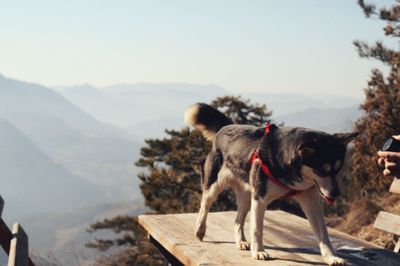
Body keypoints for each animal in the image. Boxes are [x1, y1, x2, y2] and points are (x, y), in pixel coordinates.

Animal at [184, 103, 356, 266]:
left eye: (337, 169)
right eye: (321, 171)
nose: (336, 194)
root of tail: (226, 127)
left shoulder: (311, 202)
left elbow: (323, 234)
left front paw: (331, 257)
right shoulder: (260, 199)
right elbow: (257, 229)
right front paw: (258, 252)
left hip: (247, 196)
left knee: (238, 220)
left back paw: (241, 241)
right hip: (215, 185)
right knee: (205, 205)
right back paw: (200, 229)